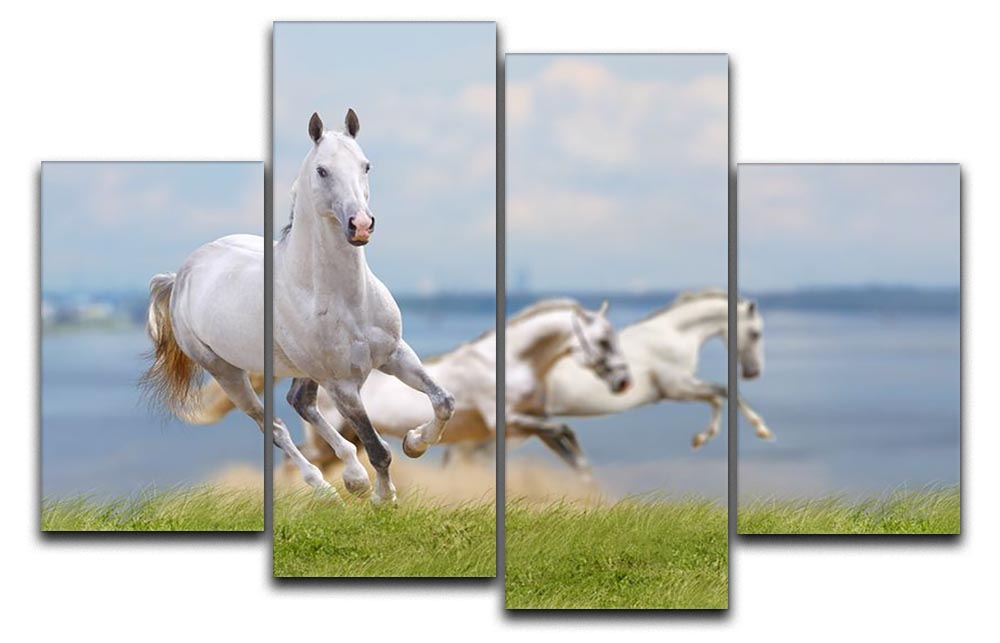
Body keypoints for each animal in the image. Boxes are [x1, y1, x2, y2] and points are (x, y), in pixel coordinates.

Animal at [144, 109, 454, 505]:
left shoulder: (395, 354)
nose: (361, 225)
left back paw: (353, 478)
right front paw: (384, 500)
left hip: (300, 369)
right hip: (227, 372)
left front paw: (414, 443)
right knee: (273, 426)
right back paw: (327, 490)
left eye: (366, 165)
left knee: (299, 401)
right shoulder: (342, 384)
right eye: (322, 170)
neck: (347, 298)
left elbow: (444, 400)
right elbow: (377, 447)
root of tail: (181, 274)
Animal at [535, 289, 772, 471]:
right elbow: (723, 391)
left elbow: (717, 396)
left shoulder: (682, 386)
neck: (675, 335)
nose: (753, 372)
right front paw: (762, 429)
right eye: (756, 333)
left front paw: (699, 439)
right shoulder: (676, 388)